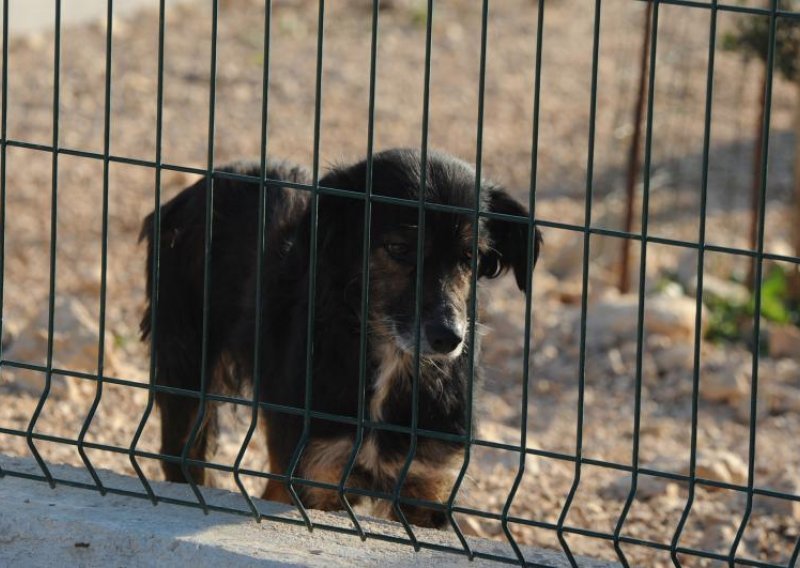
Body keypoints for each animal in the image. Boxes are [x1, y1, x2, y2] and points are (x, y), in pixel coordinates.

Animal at [142, 149, 544, 524]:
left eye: (470, 257)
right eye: (399, 249)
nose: (449, 338)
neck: (389, 360)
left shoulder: (429, 483)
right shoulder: (320, 473)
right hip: (186, 374)